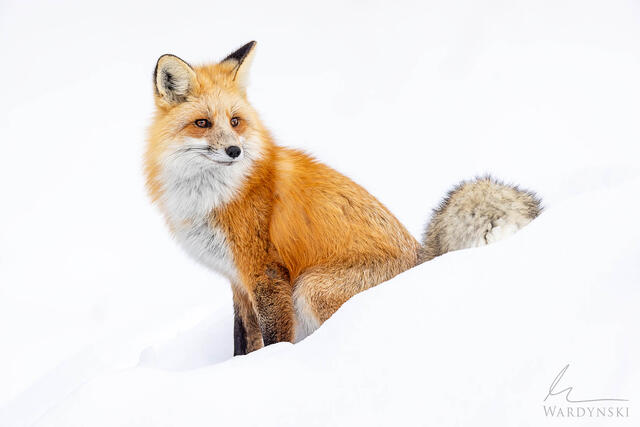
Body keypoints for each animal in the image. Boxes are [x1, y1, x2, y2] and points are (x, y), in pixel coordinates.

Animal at [144, 41, 541, 355]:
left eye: (235, 121)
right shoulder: (237, 281)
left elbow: (274, 341)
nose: (234, 151)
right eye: (202, 123)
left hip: (310, 287)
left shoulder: (265, 274)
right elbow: (243, 343)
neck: (213, 196)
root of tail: (422, 259)